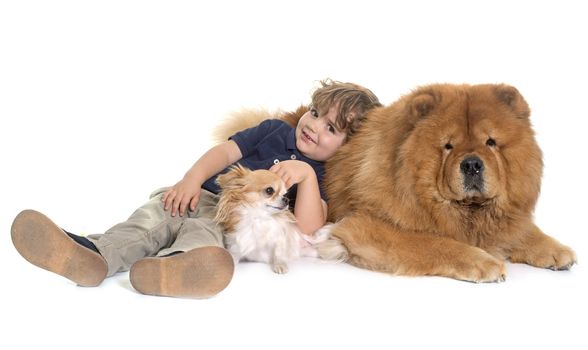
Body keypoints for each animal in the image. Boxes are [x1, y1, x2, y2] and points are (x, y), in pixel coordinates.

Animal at [328, 83, 576, 284]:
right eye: (448, 146)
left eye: (490, 142)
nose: (472, 164)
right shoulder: (367, 226)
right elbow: (436, 243)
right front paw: (484, 263)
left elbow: (522, 230)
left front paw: (556, 250)